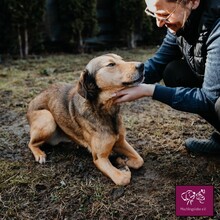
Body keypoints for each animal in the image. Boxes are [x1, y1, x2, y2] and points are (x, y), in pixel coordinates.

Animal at [26, 53, 144, 186]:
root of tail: (32, 101)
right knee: (30, 143)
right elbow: (122, 179)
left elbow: (140, 160)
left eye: (122, 59)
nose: (142, 65)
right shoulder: (100, 158)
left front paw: (122, 160)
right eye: (111, 64)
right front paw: (123, 168)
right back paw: (39, 154)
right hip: (48, 119)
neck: (107, 109)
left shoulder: (121, 142)